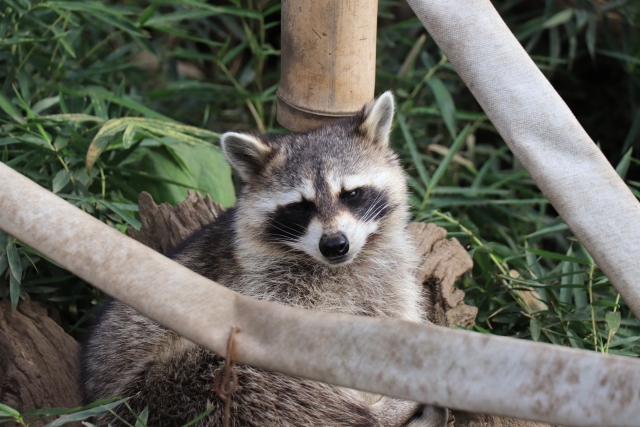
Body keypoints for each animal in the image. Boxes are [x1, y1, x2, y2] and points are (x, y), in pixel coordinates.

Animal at [82, 93, 448, 427]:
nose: (334, 245)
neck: (338, 267)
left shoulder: (386, 278)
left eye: (352, 194)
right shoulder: (264, 286)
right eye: (300, 207)